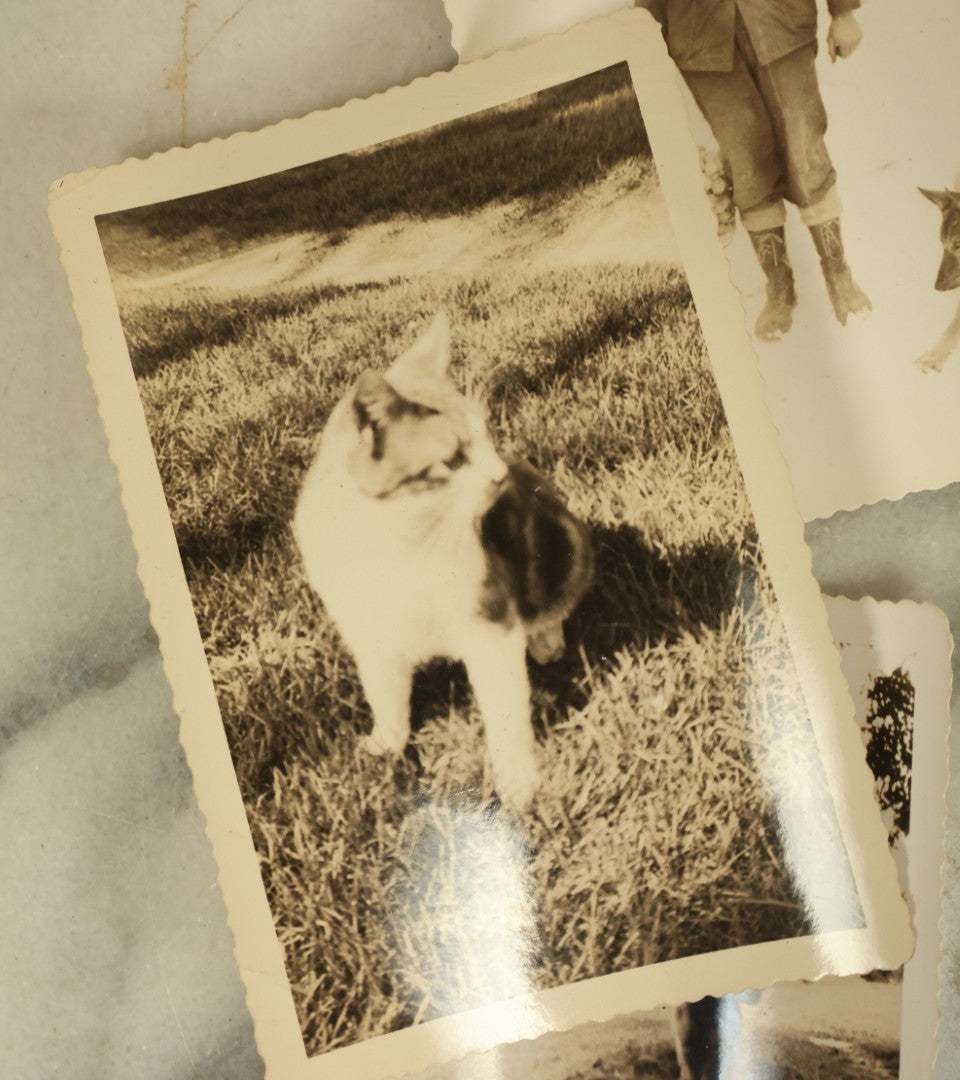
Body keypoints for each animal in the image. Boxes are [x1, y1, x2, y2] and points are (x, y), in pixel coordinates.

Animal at [291, 313, 591, 812]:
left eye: (487, 437)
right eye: (452, 460)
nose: (500, 474)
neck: (399, 539)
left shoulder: (491, 630)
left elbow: (507, 717)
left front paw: (518, 782)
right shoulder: (369, 634)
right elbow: (384, 696)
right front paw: (386, 746)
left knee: (553, 610)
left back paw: (546, 641)